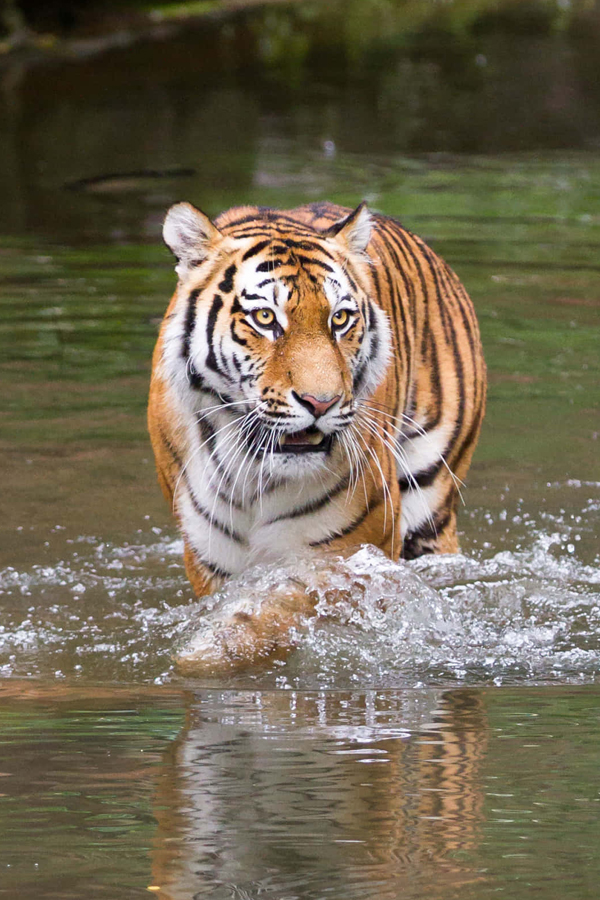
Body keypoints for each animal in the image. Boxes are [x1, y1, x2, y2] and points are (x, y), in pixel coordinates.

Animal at [148, 200, 486, 668]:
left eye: (340, 318)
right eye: (265, 318)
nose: (321, 403)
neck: (253, 469)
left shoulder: (349, 555)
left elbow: (291, 603)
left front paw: (221, 645)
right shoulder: (211, 558)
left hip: (431, 498)